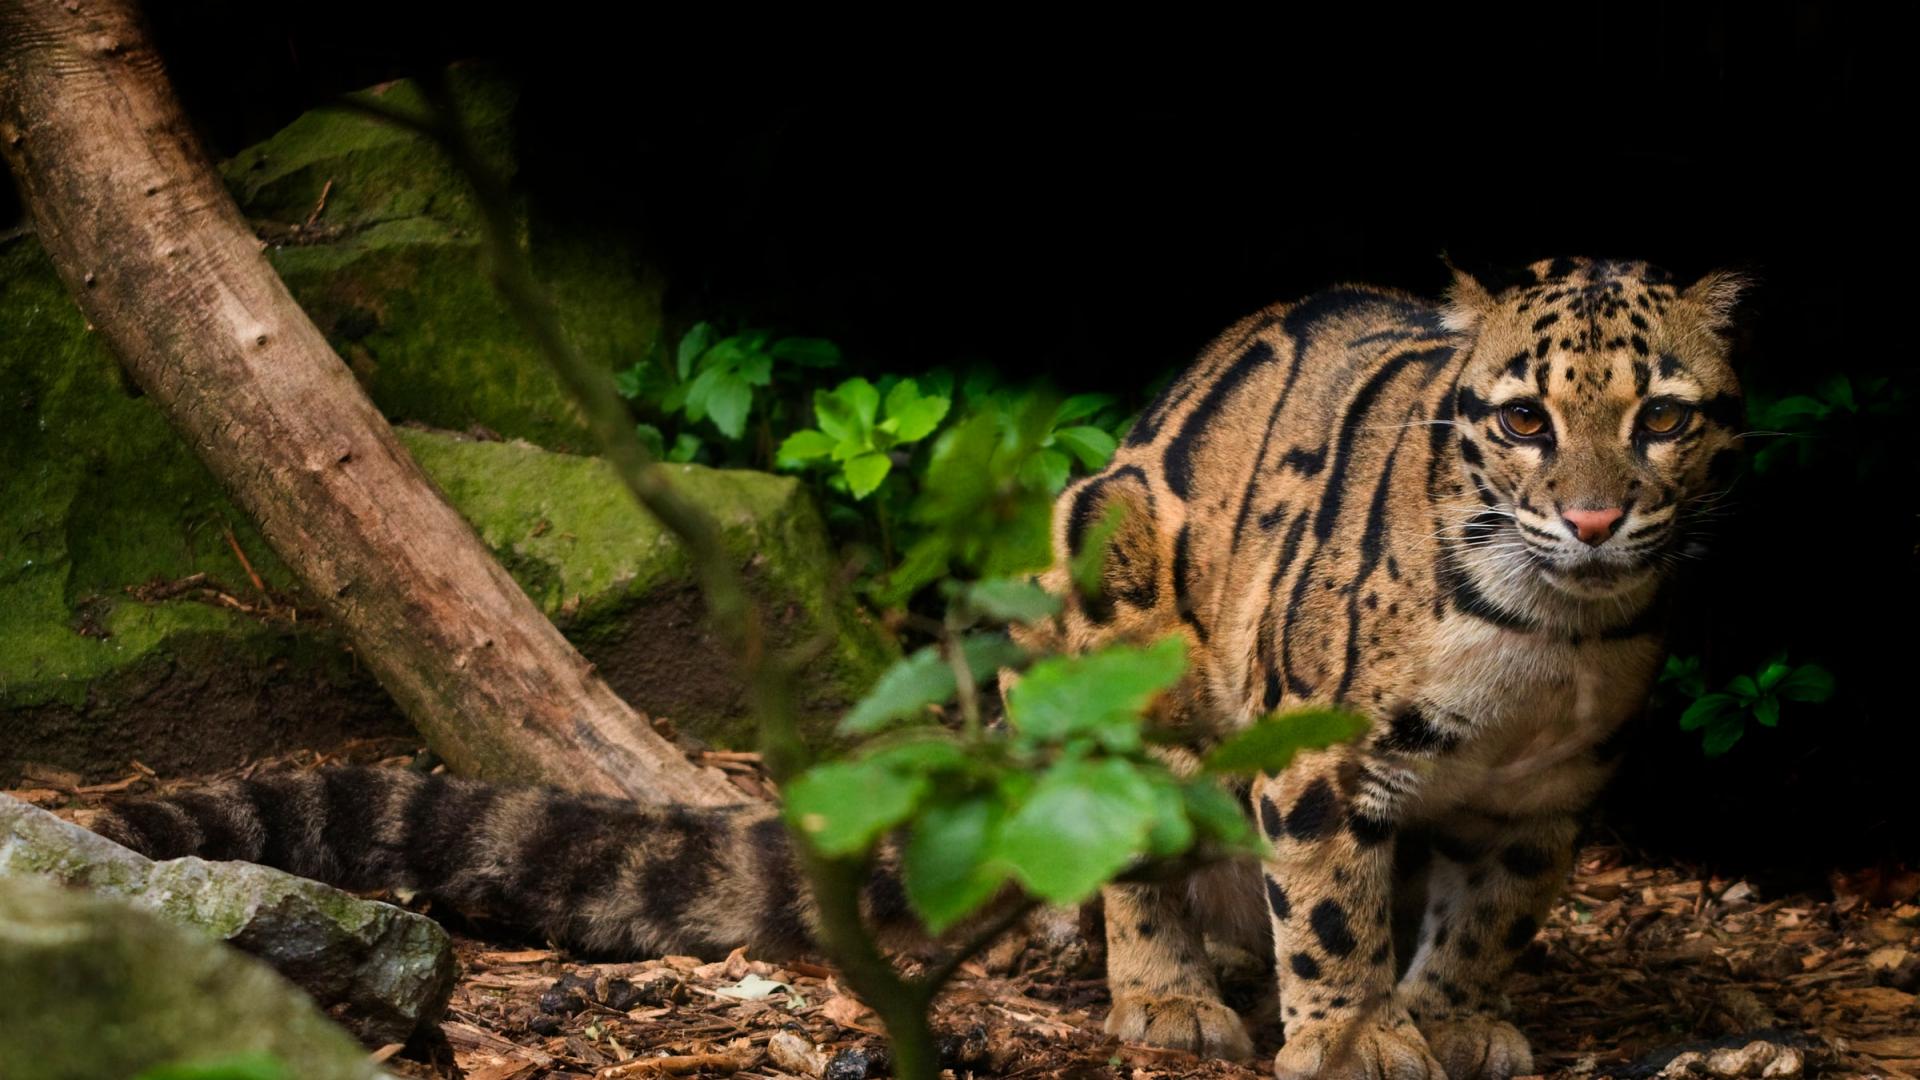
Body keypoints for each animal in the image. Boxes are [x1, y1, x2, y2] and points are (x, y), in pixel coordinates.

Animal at [86, 259, 1743, 1076]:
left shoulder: (1547, 800)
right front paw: (1350, 1038)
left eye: (1664, 417)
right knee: (1130, 859)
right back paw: (1170, 1000)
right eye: (1524, 420)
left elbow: (1487, 919)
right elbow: (1334, 908)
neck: (1548, 644)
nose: (1597, 516)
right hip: (1108, 585)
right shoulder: (1320, 752)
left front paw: (1453, 1016)